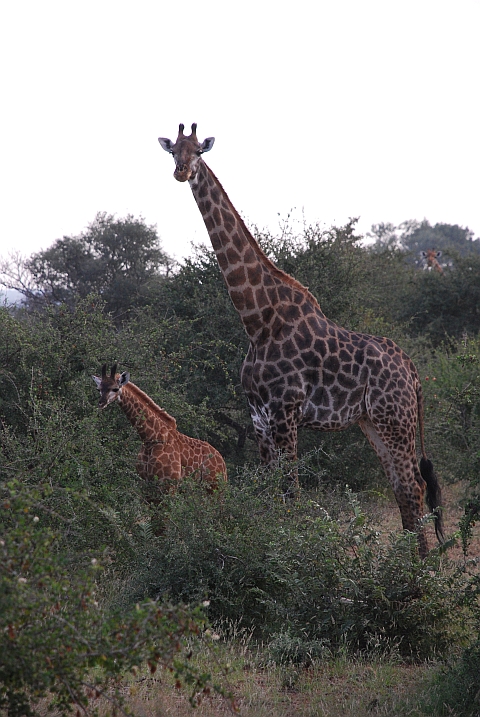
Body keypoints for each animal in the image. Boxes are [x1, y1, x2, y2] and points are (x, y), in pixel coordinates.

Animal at [94, 364, 229, 492]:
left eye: (115, 388)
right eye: (99, 389)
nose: (101, 403)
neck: (150, 438)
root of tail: (222, 462)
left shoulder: (169, 484)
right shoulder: (145, 483)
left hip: (214, 488)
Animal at [159, 126, 444, 556]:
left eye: (199, 152)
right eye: (173, 150)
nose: (181, 172)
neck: (257, 320)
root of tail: (412, 369)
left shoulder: (286, 412)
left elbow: (291, 494)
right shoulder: (258, 417)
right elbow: (269, 494)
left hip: (396, 419)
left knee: (413, 486)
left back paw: (422, 569)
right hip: (373, 422)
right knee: (402, 487)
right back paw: (414, 566)